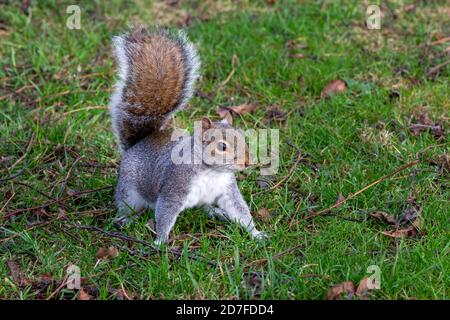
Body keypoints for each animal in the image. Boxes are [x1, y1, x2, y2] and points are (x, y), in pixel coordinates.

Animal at [108, 27, 268, 244]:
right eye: (222, 146)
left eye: (244, 138)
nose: (247, 162)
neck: (212, 172)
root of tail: (137, 145)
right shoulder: (174, 188)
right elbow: (165, 214)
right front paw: (160, 241)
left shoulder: (227, 190)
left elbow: (240, 210)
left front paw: (256, 233)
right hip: (129, 191)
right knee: (127, 205)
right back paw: (127, 219)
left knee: (205, 207)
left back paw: (217, 212)